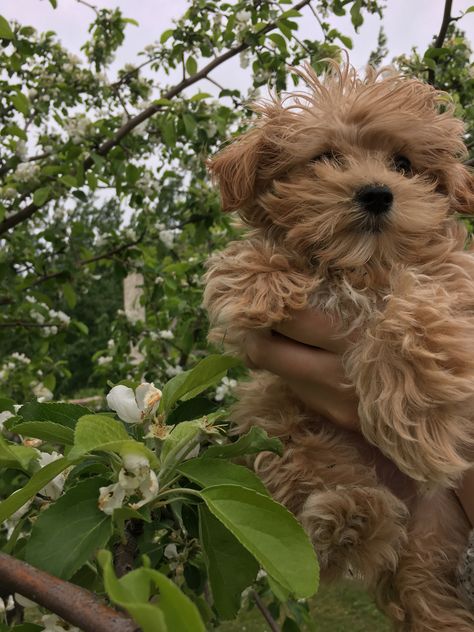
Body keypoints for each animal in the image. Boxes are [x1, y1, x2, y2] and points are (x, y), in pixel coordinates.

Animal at [203, 60, 474, 632]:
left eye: (403, 163)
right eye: (326, 157)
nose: (377, 193)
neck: (359, 264)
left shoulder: (457, 281)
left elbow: (418, 303)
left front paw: (415, 412)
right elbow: (249, 264)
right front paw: (261, 279)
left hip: (436, 527)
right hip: (280, 424)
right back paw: (348, 517)